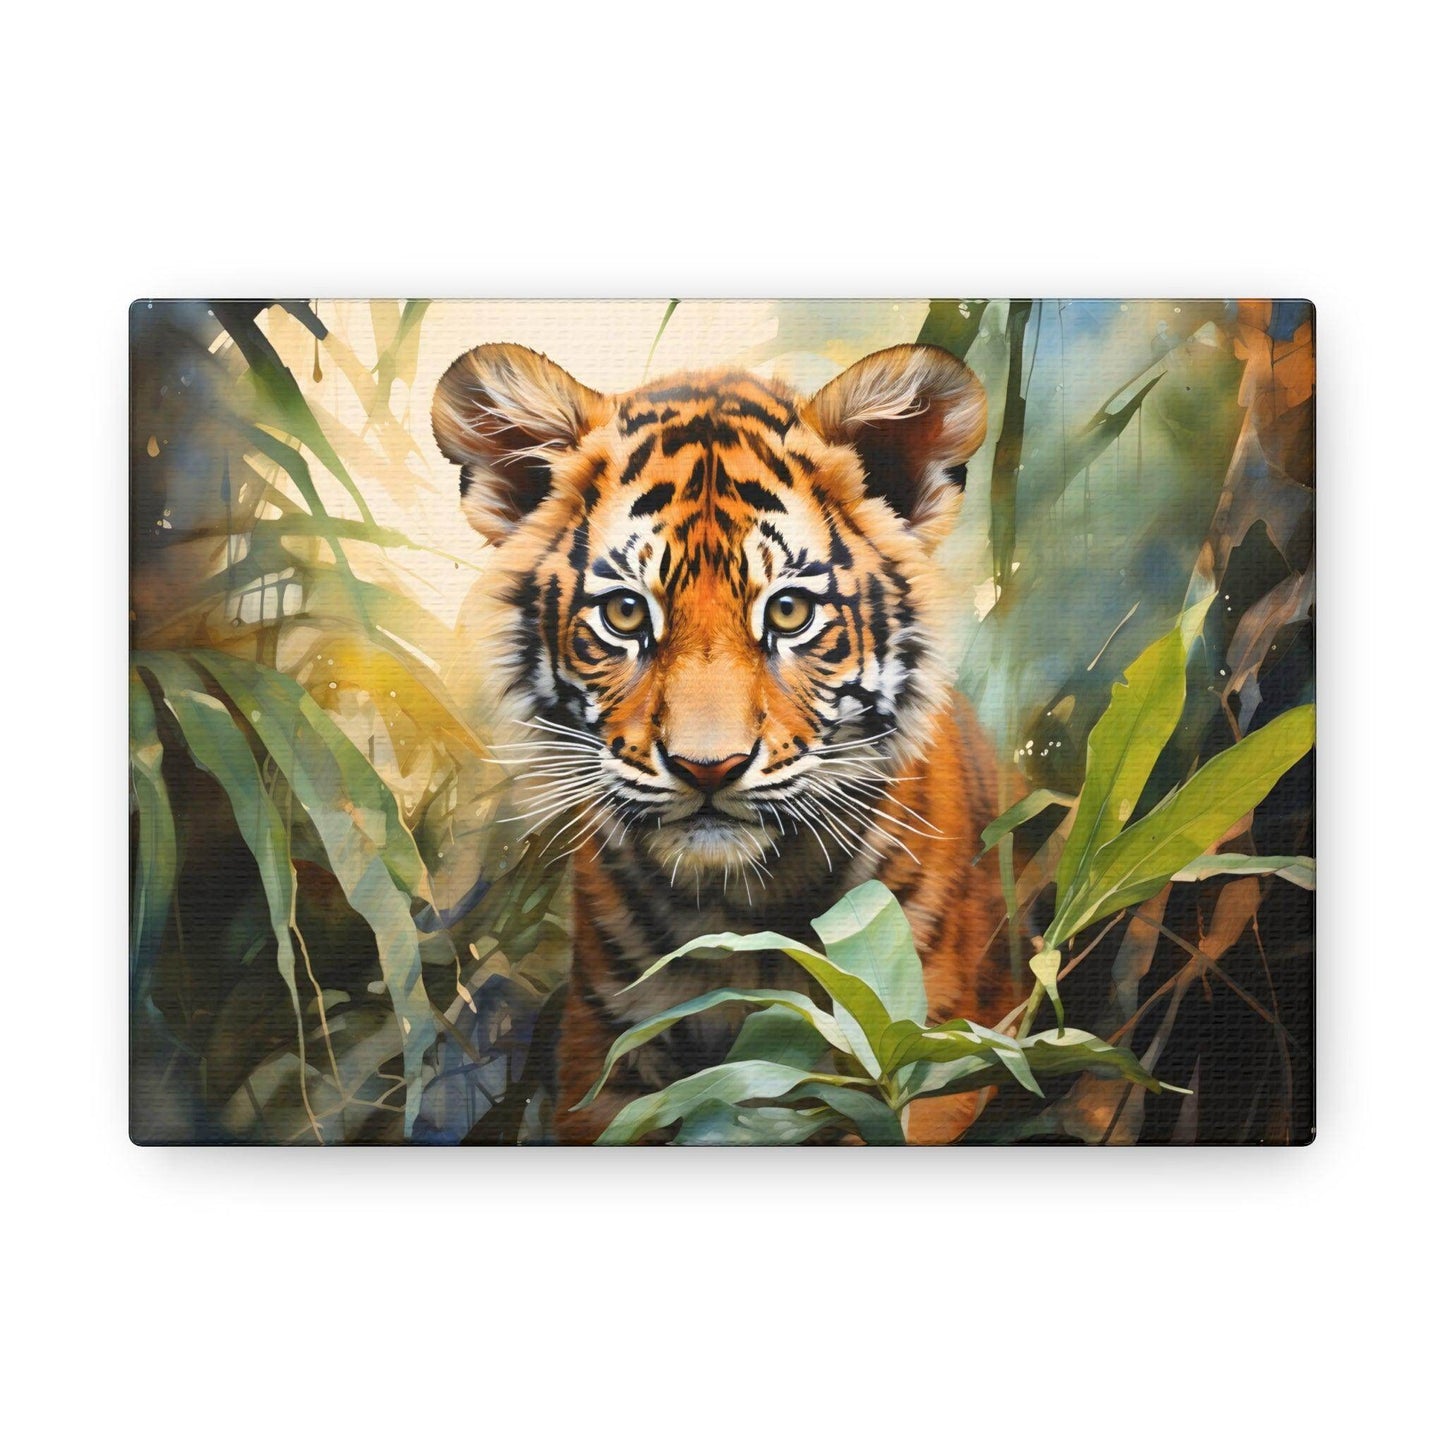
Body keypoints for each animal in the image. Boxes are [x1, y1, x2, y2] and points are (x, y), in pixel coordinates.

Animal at [432, 339, 1020, 1143]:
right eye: (624, 613)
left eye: (791, 611)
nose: (707, 768)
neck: (739, 913)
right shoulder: (601, 1063)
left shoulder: (938, 1055)